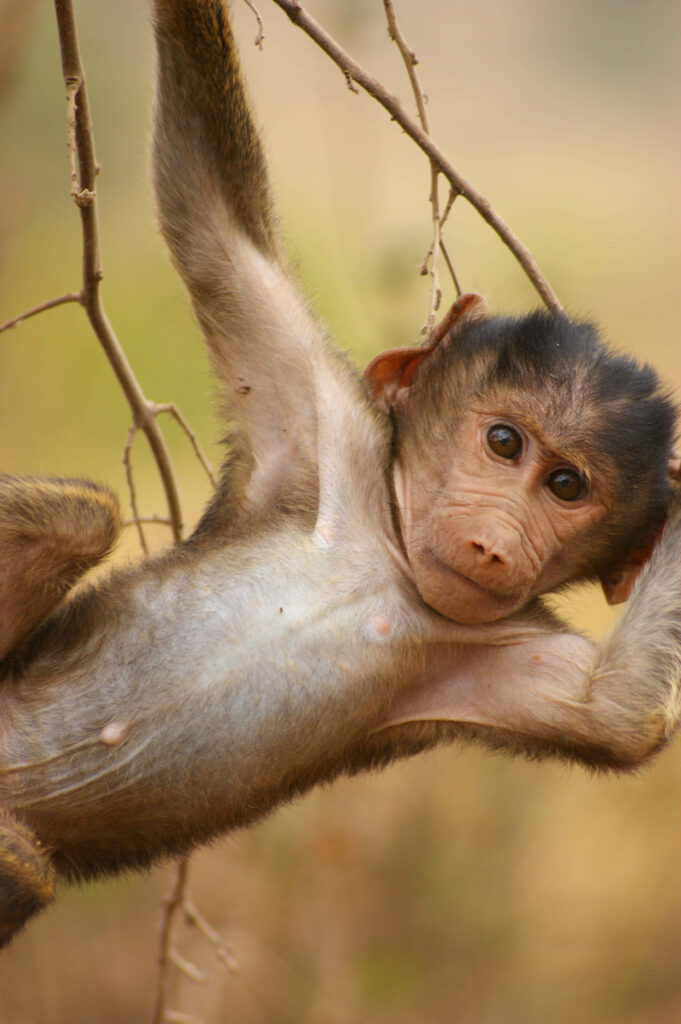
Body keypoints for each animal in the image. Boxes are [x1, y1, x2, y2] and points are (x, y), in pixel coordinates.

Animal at [0, 0, 679, 949]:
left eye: (566, 488)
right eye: (505, 444)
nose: (493, 544)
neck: (388, 563)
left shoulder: (506, 639)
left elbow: (618, 714)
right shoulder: (325, 427)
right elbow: (215, 223)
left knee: (25, 861)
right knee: (84, 515)